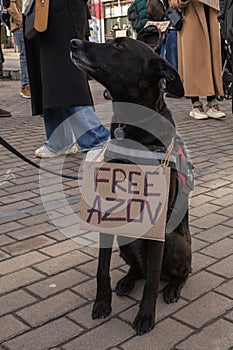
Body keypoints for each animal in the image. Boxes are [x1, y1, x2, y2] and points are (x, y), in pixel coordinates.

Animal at [70, 37, 192, 334]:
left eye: (119, 46)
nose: (74, 42)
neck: (132, 126)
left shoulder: (158, 222)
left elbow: (151, 284)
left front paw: (146, 315)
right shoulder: (106, 212)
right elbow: (101, 270)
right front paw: (102, 303)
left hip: (175, 244)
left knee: (173, 274)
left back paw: (172, 288)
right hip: (125, 240)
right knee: (141, 271)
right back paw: (127, 280)